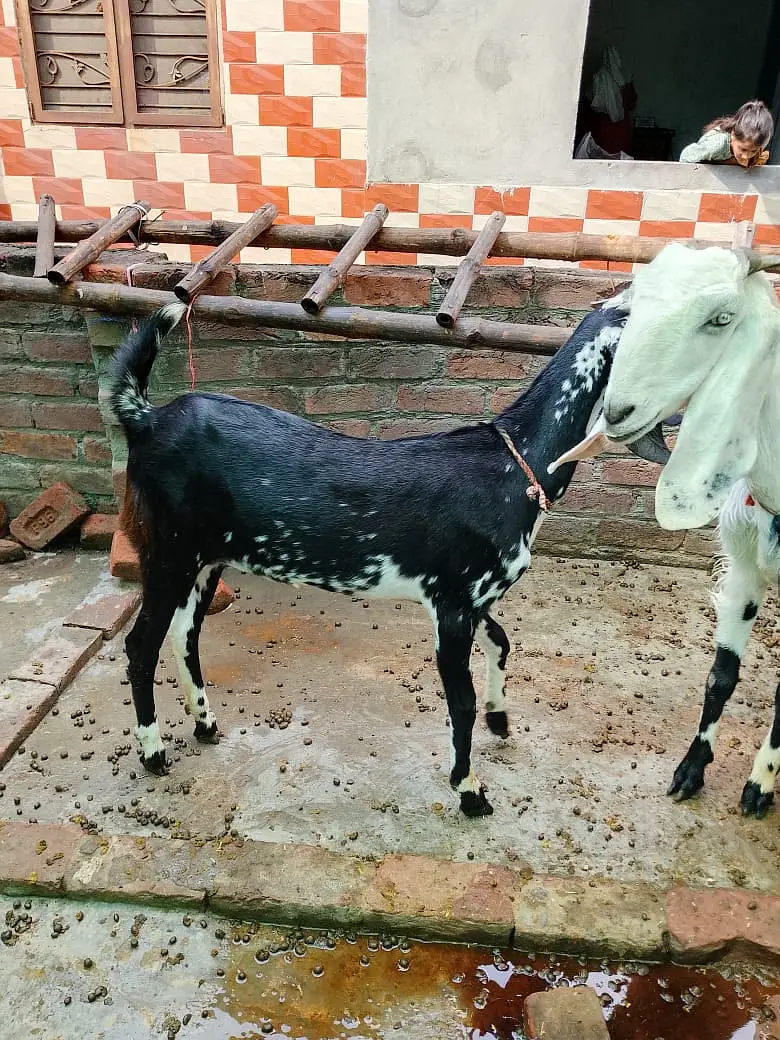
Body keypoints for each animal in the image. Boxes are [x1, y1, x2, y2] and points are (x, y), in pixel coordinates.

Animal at [110, 299, 664, 817]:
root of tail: (146, 418)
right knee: (141, 645)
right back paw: (153, 752)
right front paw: (469, 791)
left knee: (184, 636)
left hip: (205, 561)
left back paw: (205, 724)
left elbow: (503, 643)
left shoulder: (475, 599)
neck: (512, 464)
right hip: (167, 553)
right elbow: (460, 704)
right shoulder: (452, 603)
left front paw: (500, 717)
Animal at [552, 242, 780, 818]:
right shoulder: (743, 571)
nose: (617, 411)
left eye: (721, 318)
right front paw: (691, 770)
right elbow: (720, 677)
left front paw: (760, 785)